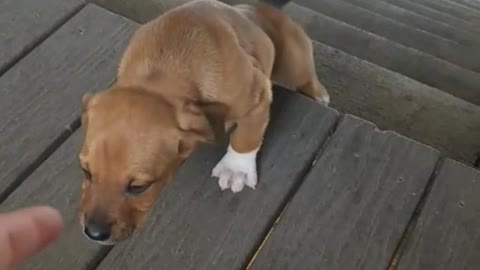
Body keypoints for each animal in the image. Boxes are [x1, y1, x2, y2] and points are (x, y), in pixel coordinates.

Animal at [79, 0, 328, 245]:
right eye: (86, 172)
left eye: (138, 187)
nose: (93, 233)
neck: (160, 71)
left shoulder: (257, 95)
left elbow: (246, 136)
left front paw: (236, 168)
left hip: (294, 64)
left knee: (308, 78)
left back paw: (319, 96)